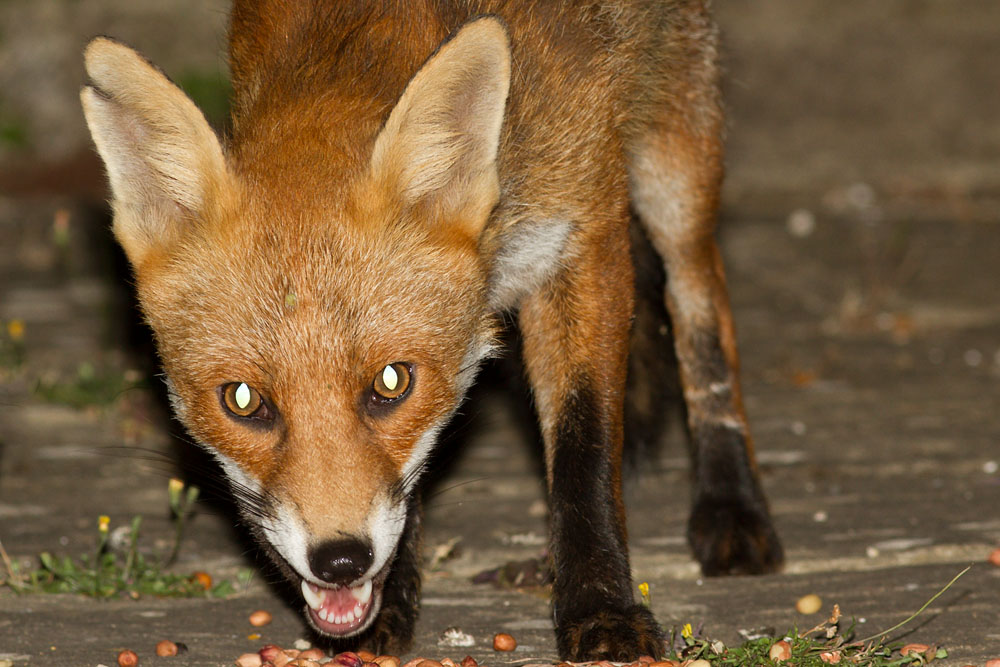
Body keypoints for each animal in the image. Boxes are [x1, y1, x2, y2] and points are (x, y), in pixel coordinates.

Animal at [81, 0, 782, 660]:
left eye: (392, 382)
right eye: (243, 400)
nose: (341, 561)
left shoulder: (586, 232)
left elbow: (584, 445)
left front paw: (601, 610)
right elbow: (409, 495)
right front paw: (391, 606)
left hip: (675, 165)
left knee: (702, 311)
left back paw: (731, 506)